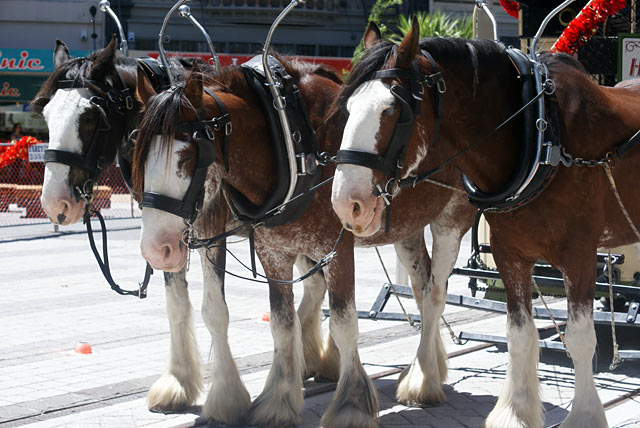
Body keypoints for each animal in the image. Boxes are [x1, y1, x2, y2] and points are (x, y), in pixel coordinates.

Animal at [34, 36, 337, 420]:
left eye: (90, 116)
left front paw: (225, 395)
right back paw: (309, 358)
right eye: (46, 114)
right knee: (315, 285)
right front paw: (177, 383)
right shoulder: (167, 233)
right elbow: (176, 305)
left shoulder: (209, 229)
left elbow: (214, 311)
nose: (55, 203)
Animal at [131, 42, 477, 425]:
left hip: (451, 221)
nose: (155, 250)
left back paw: (423, 379)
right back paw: (422, 366)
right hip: (406, 229)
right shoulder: (272, 251)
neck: (291, 143)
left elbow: (343, 322)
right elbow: (281, 323)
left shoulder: (336, 248)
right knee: (419, 286)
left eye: (188, 156)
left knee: (434, 295)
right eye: (138, 151)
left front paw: (351, 403)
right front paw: (277, 399)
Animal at [331, 18, 640, 428]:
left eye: (394, 109)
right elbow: (519, 333)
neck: (542, 132)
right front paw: (516, 412)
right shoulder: (511, 255)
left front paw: (585, 415)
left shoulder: (581, 255)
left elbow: (579, 339)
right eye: (347, 107)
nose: (345, 204)